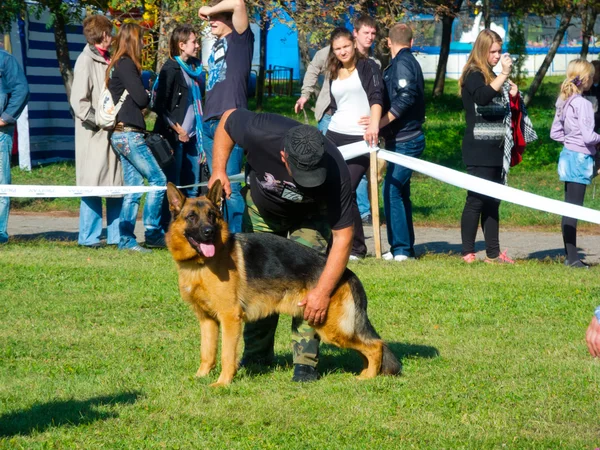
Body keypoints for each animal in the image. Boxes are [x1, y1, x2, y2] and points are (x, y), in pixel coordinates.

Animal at [165, 181, 398, 384]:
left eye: (212, 216)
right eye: (192, 217)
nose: (209, 233)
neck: (200, 264)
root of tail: (348, 273)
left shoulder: (230, 319)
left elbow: (226, 355)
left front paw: (222, 383)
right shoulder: (207, 320)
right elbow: (207, 352)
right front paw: (200, 377)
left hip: (331, 327)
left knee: (376, 346)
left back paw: (368, 378)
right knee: (368, 347)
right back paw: (366, 372)